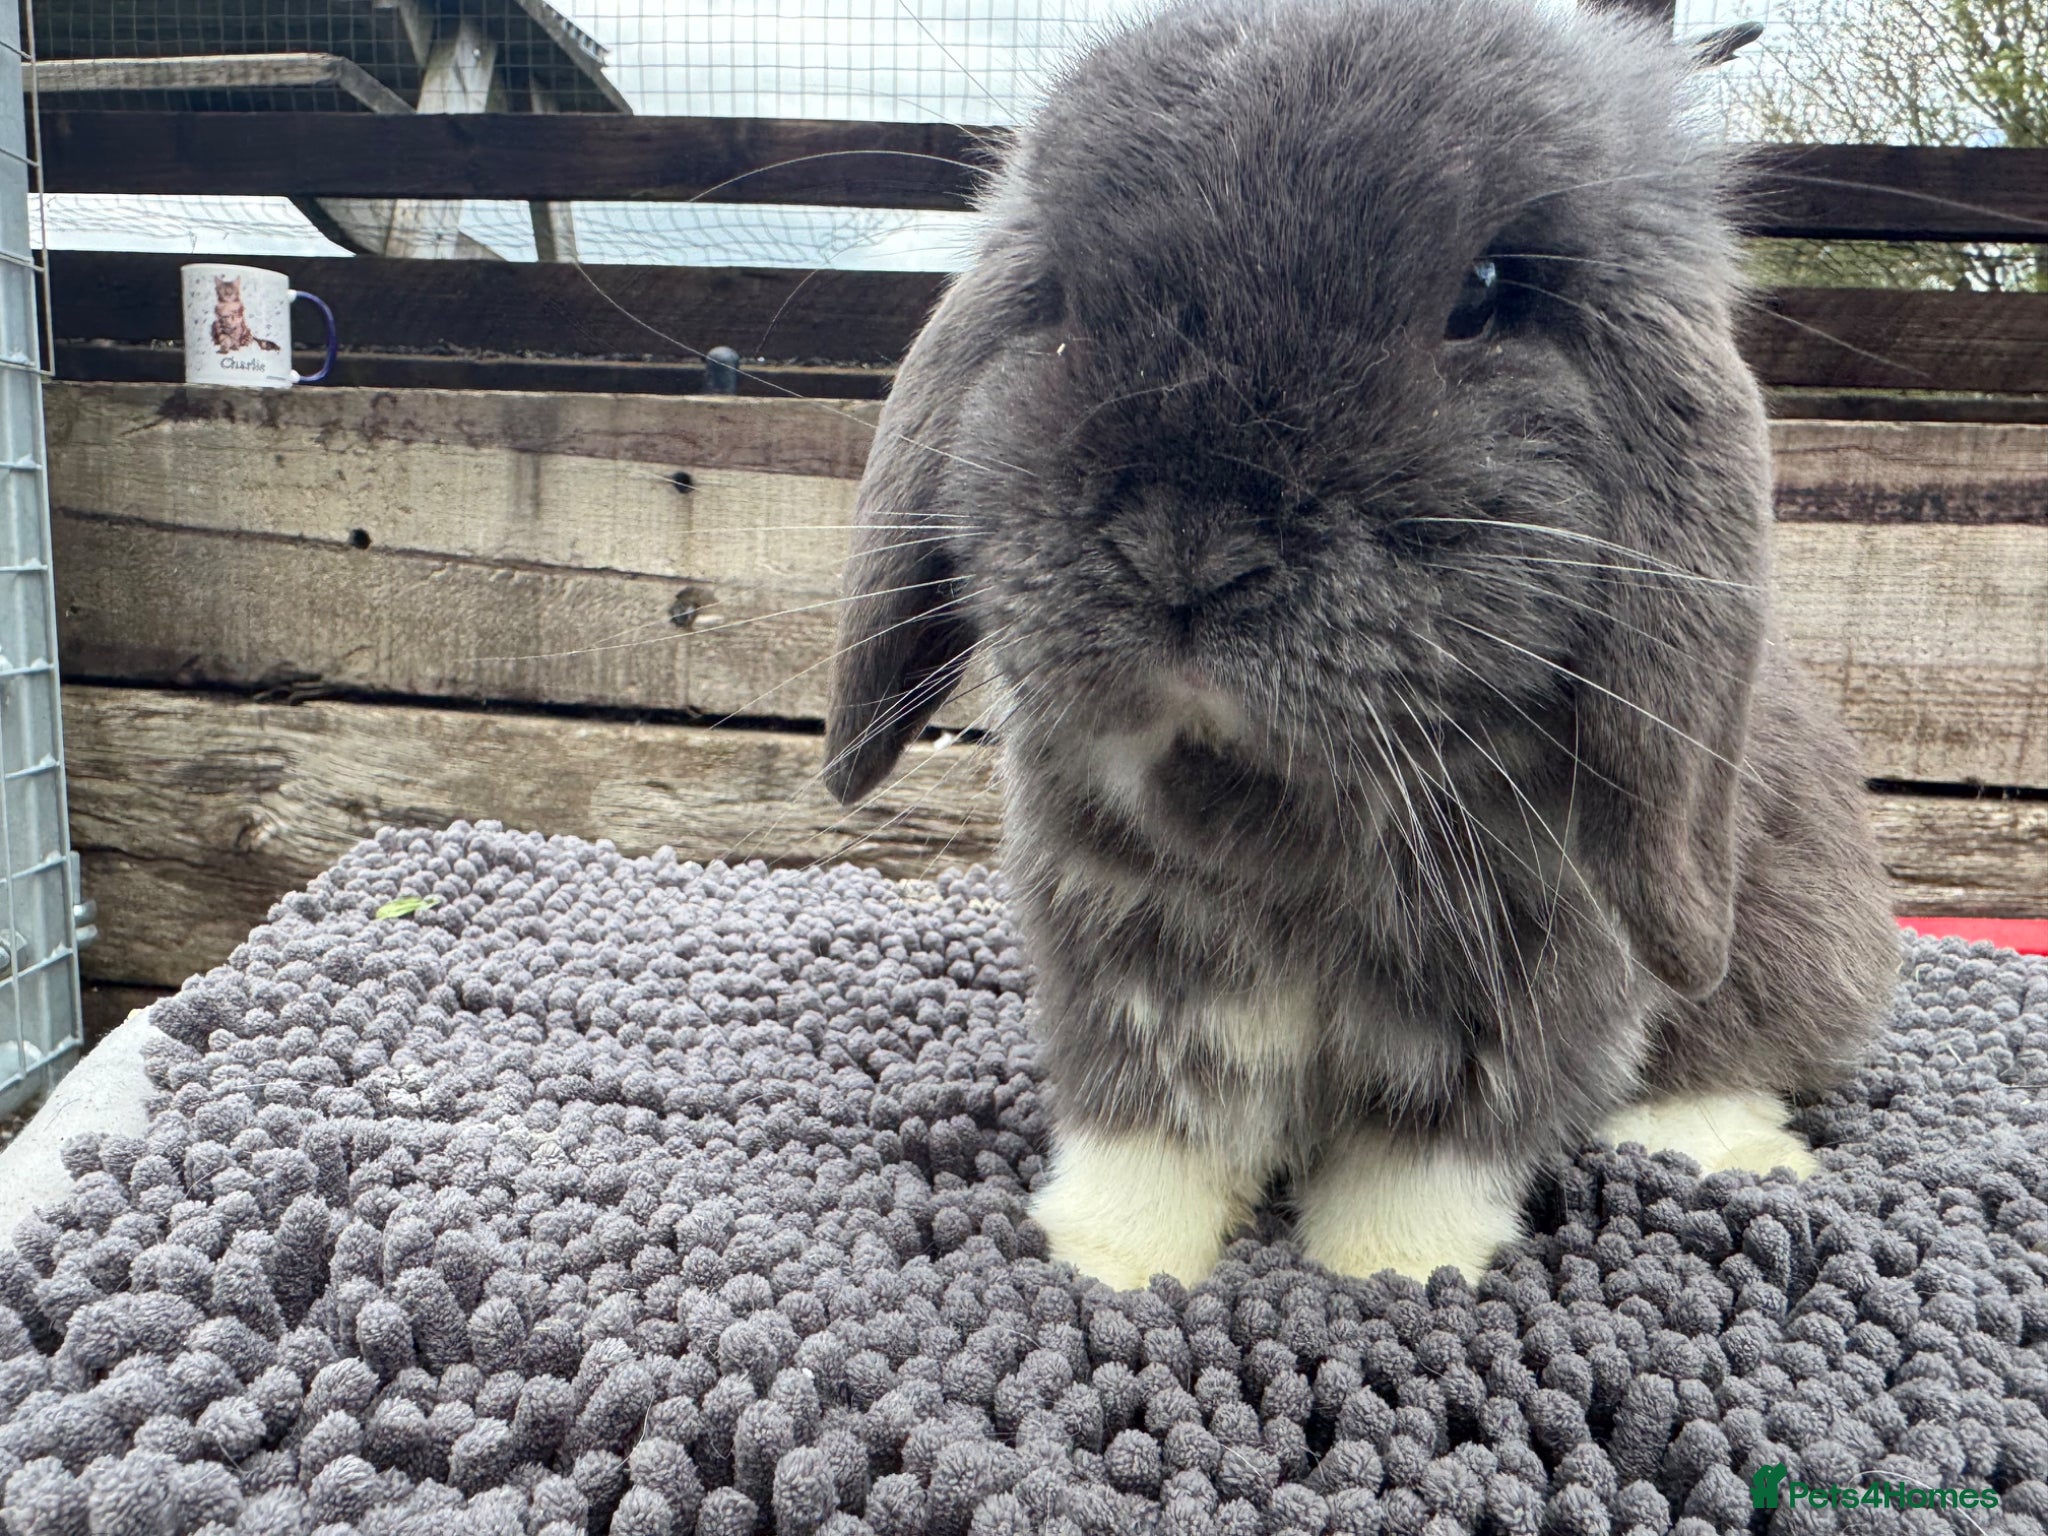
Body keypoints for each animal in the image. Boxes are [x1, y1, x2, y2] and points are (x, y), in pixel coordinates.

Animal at [822, 0, 1899, 1289]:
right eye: (1060, 300)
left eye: (1483, 290)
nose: (1185, 546)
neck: (1278, 800)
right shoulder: (1131, 963)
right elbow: (1150, 1128)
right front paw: (1104, 1264)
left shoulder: (1520, 995)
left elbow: (1427, 1155)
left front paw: (1383, 1275)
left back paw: (1722, 1144)